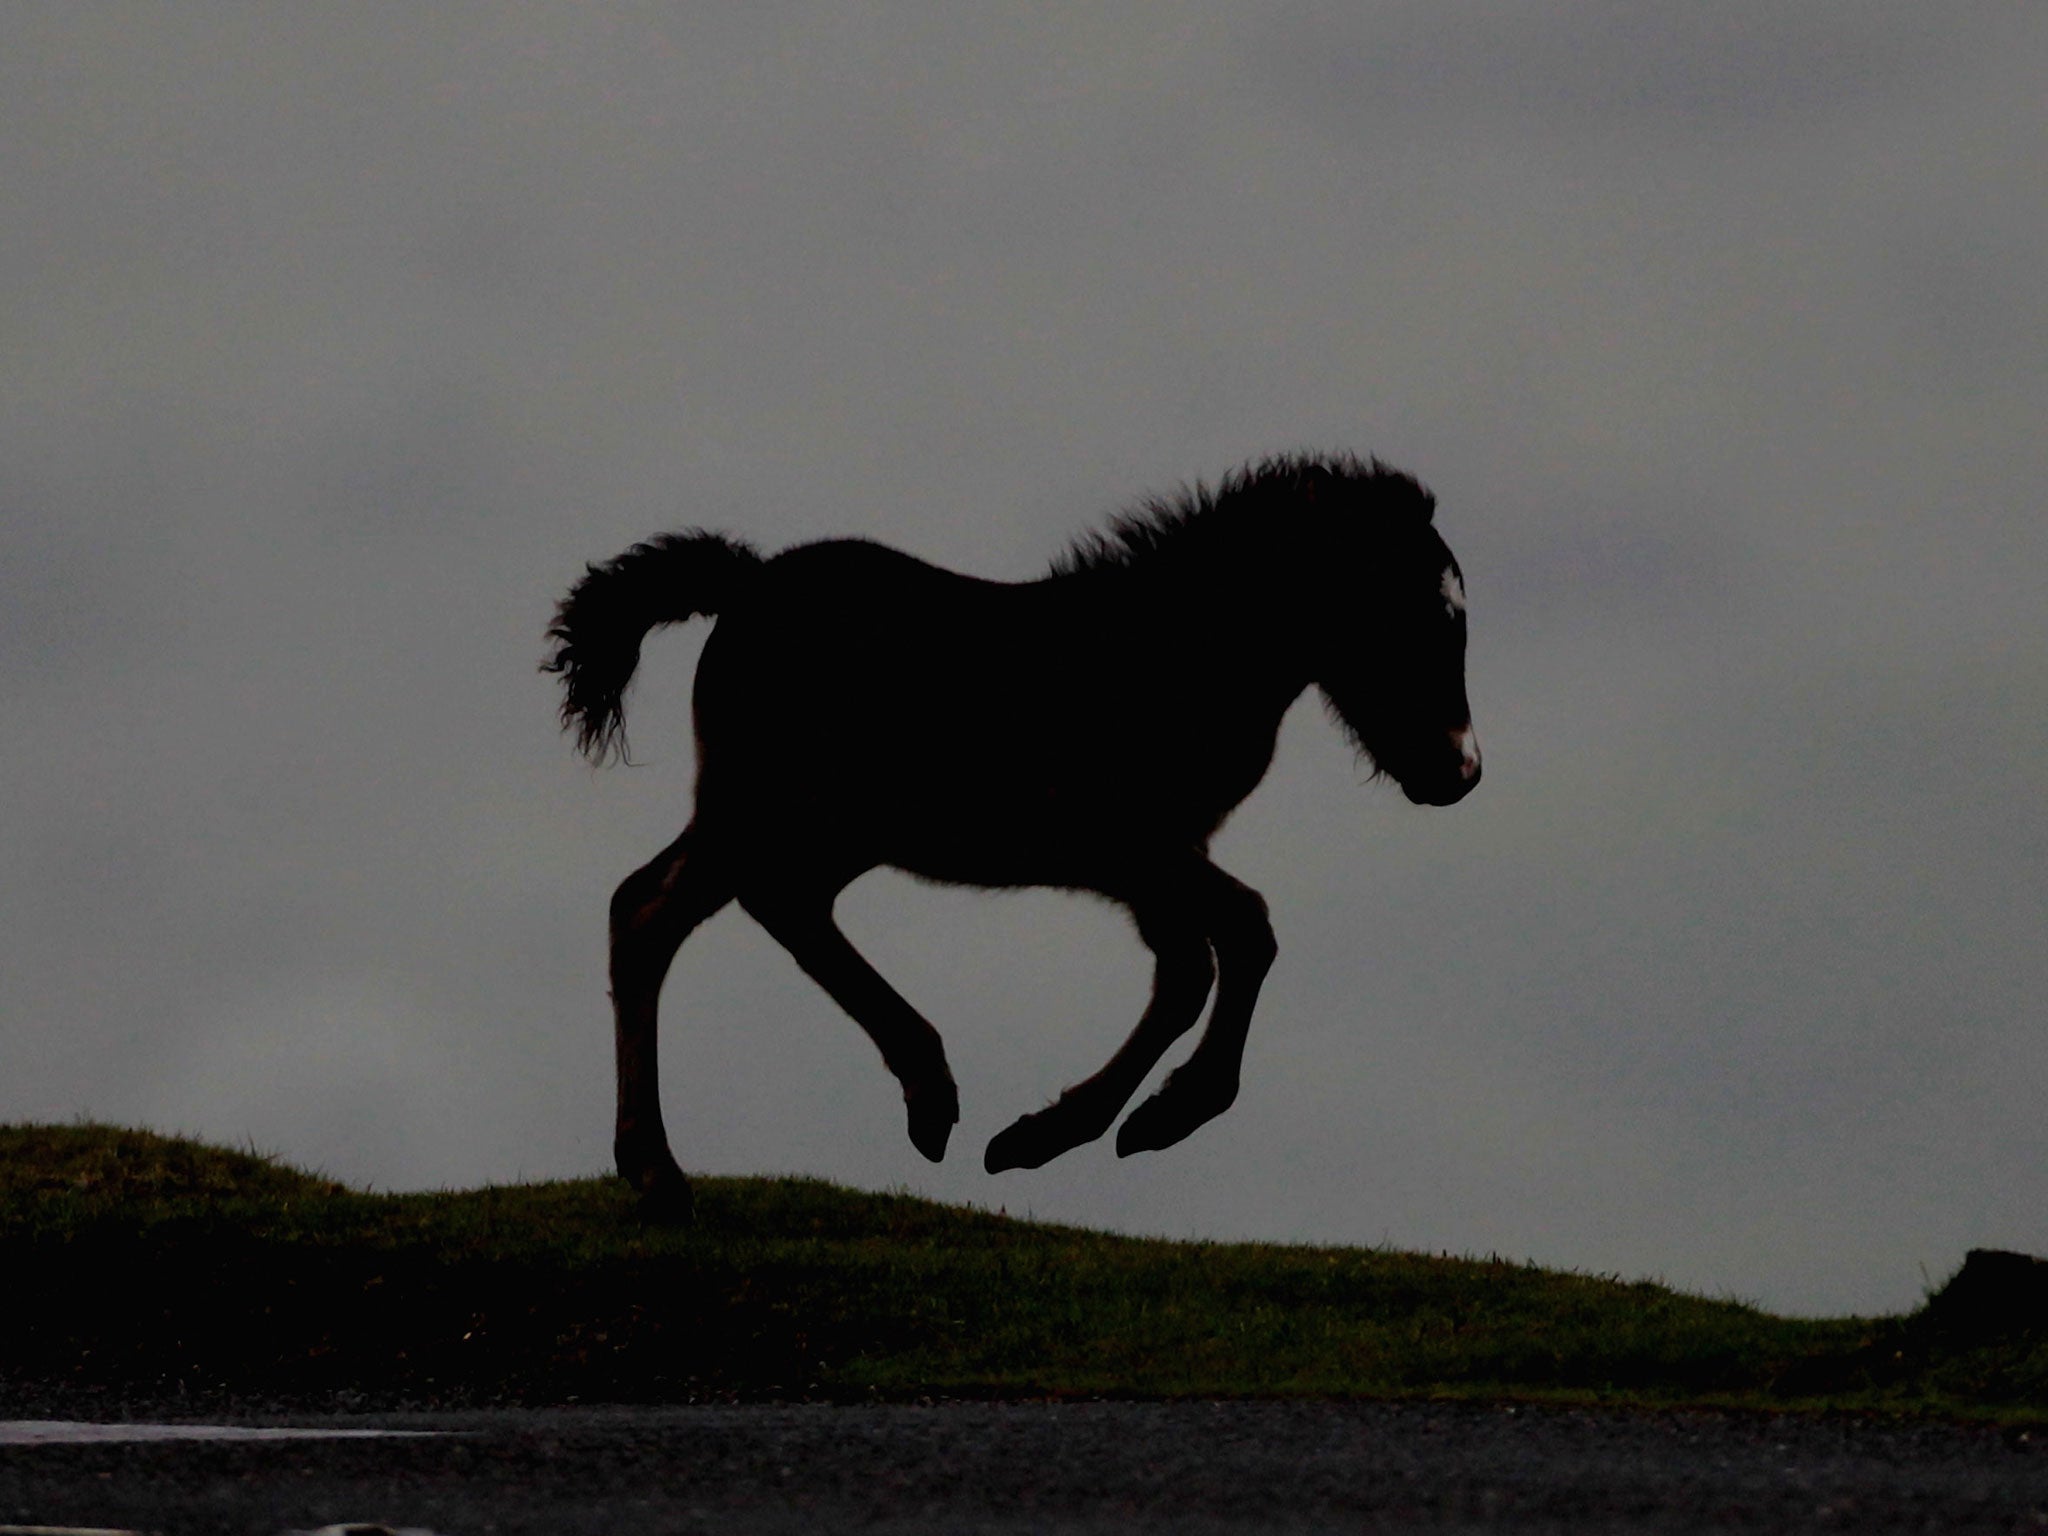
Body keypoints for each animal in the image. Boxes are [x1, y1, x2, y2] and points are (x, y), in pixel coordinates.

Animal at [544, 454, 1474, 1212]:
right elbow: (1244, 934)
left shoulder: (1155, 861)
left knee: (705, 906)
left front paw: (1056, 1133)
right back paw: (681, 1162)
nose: (1461, 771)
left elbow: (1186, 974)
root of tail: (745, 587)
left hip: (808, 828)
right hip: (767, 814)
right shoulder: (1131, 843)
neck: (1173, 653)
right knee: (669, 913)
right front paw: (1158, 1116)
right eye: (1414, 614)